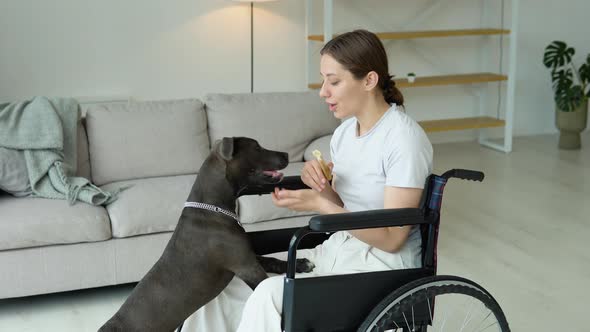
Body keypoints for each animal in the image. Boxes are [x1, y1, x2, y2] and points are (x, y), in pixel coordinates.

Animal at [99, 137, 316, 332]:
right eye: (256, 147)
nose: (286, 154)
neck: (213, 208)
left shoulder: (247, 256)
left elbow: (274, 260)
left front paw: (301, 264)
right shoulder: (246, 266)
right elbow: (267, 282)